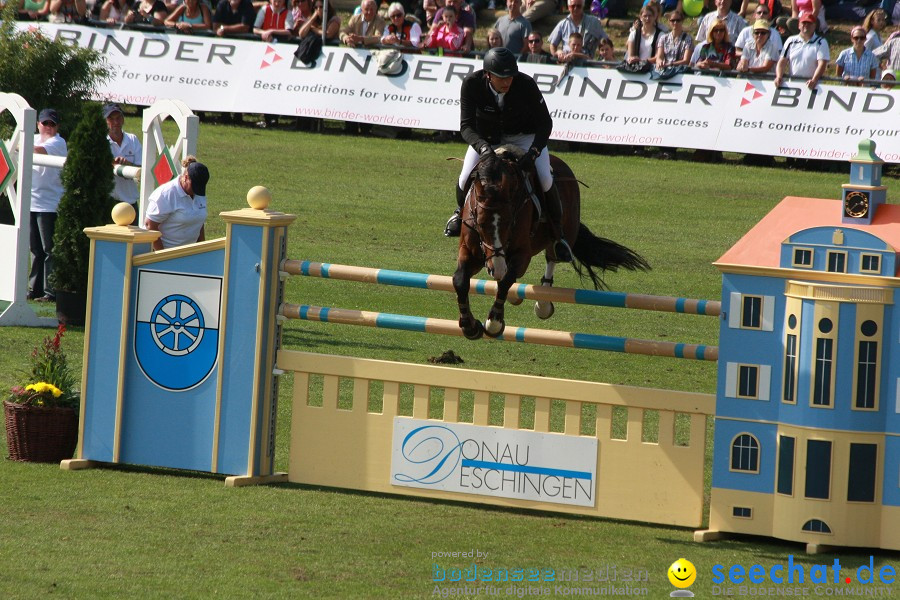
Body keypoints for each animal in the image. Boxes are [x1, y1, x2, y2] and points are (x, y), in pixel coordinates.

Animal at [454, 148, 652, 340]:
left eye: (509, 221)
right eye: (479, 223)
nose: (495, 267)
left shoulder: (522, 254)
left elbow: (506, 280)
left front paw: (493, 323)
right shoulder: (470, 251)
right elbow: (460, 280)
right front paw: (469, 326)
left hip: (562, 232)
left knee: (552, 258)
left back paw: (542, 305)